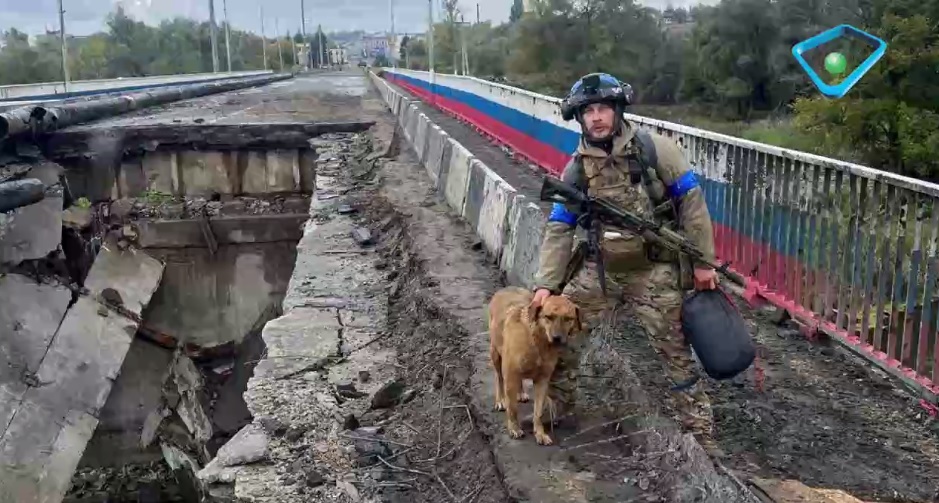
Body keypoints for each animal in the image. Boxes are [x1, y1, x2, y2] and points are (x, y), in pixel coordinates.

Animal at [488, 288, 584, 444]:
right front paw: (514, 428)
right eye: (548, 317)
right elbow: (512, 408)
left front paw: (540, 433)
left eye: (568, 319)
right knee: (499, 377)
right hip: (495, 353)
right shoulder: (511, 375)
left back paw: (521, 393)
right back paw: (500, 399)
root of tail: (506, 289)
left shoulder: (542, 380)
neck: (540, 342)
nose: (557, 338)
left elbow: (538, 412)